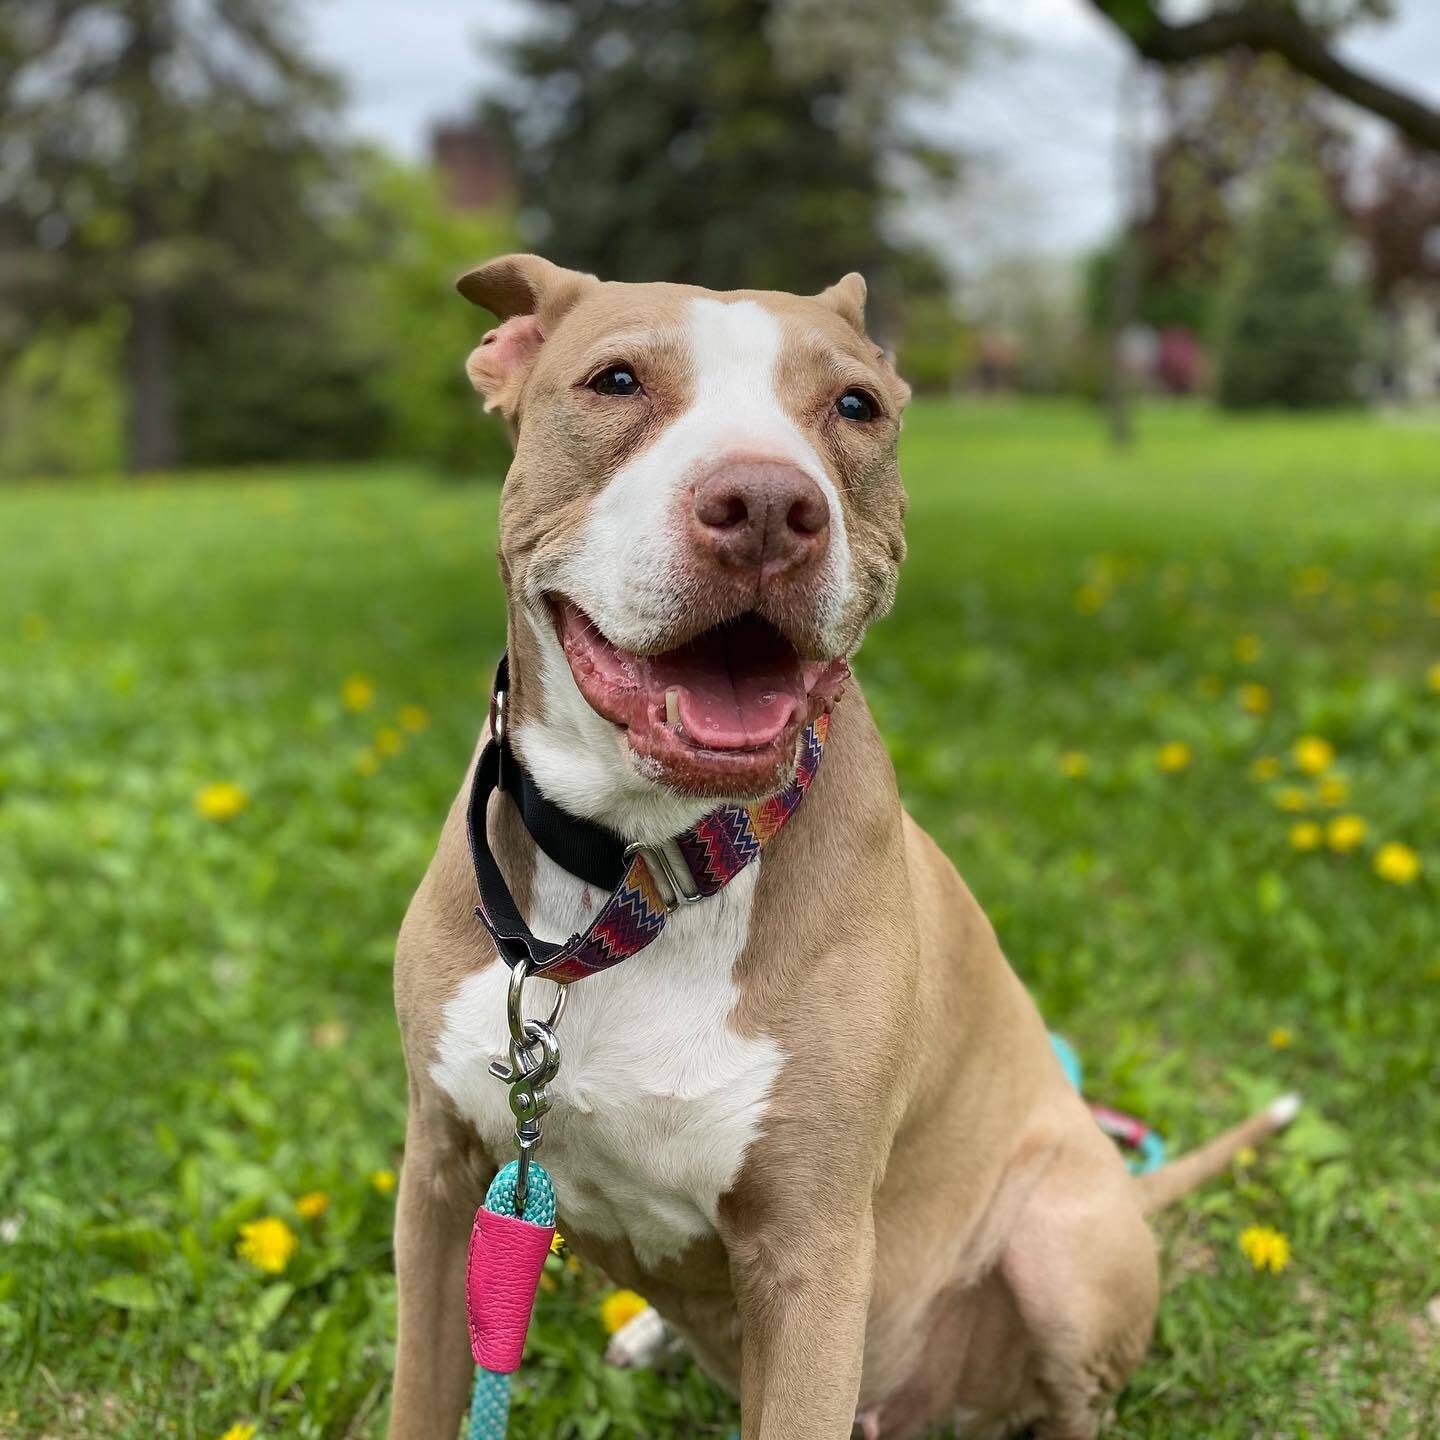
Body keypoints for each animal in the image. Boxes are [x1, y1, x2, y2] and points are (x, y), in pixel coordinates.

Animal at [385, 259, 1296, 1440]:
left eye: (856, 405)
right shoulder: (442, 1184)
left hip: (1060, 1244)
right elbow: (418, 1395)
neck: (639, 878)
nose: (769, 507)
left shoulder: (811, 1257)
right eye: (615, 380)